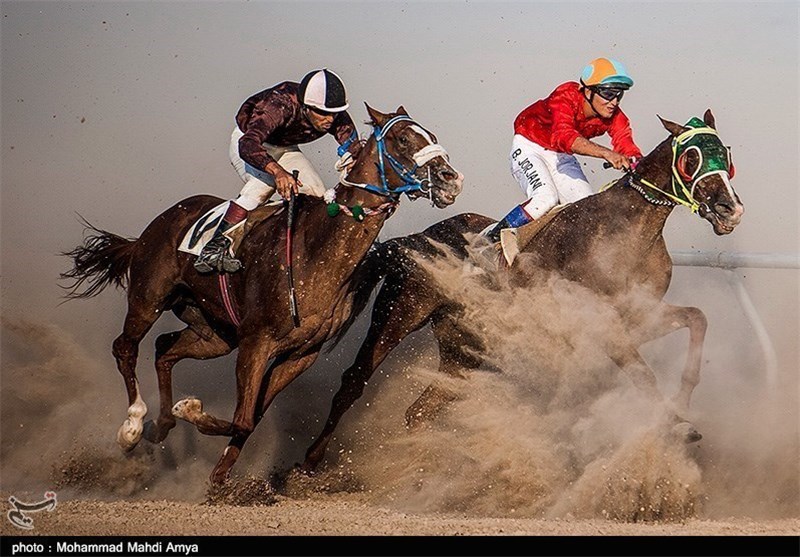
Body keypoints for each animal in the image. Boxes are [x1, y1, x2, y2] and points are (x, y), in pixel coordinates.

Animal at [61, 103, 462, 482]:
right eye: (403, 139)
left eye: (431, 134)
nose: (451, 180)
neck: (317, 252)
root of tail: (158, 224)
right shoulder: (256, 342)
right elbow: (242, 417)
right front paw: (193, 420)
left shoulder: (300, 354)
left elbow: (250, 418)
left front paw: (219, 473)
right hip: (149, 297)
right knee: (126, 348)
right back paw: (132, 426)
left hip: (214, 334)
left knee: (165, 348)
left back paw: (160, 426)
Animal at [300, 109, 744, 474]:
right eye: (691, 158)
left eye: (725, 154)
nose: (731, 210)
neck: (628, 231)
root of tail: (414, 237)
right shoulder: (598, 323)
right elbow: (643, 375)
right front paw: (677, 424)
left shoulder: (638, 316)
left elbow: (697, 320)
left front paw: (683, 403)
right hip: (400, 312)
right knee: (355, 379)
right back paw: (309, 464)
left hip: (465, 350)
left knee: (421, 411)